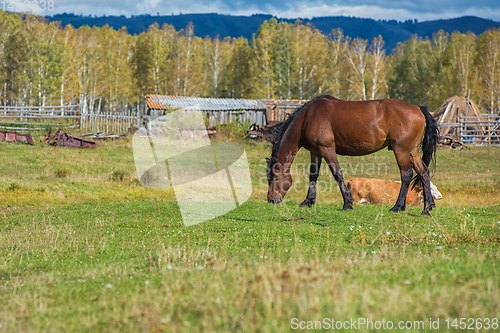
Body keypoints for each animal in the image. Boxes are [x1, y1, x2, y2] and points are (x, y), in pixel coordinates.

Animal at [266, 94, 438, 217]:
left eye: (274, 178)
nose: (271, 200)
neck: (308, 117)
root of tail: (418, 109)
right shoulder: (315, 152)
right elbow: (313, 176)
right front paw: (308, 202)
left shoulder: (327, 149)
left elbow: (337, 174)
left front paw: (347, 203)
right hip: (412, 152)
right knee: (423, 172)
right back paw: (427, 208)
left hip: (401, 151)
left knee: (406, 174)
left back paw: (397, 207)